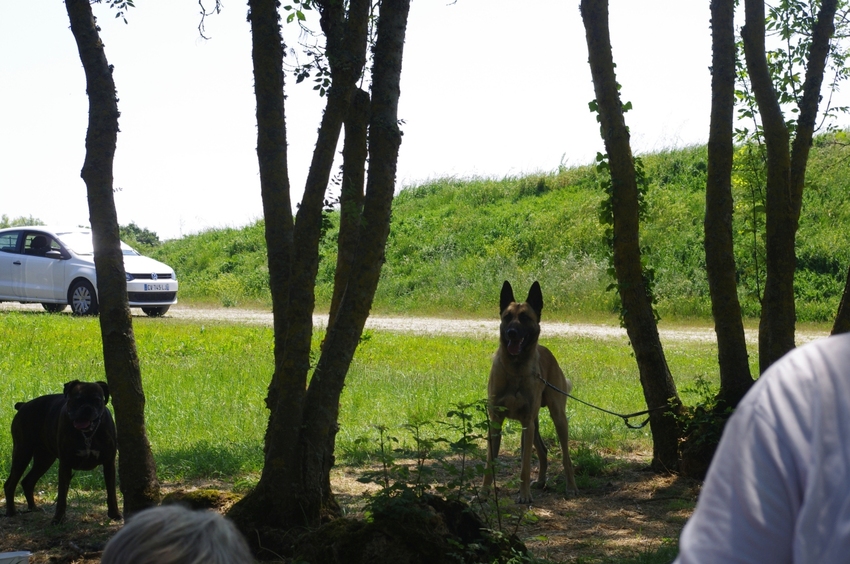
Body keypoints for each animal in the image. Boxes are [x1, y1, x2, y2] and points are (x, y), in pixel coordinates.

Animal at [4, 382, 121, 524]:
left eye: (97, 400)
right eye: (77, 399)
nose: (87, 408)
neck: (87, 435)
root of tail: (24, 405)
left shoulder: (109, 464)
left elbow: (111, 492)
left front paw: (115, 514)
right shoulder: (65, 465)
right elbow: (61, 496)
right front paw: (58, 518)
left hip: (44, 459)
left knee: (28, 481)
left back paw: (33, 507)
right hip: (22, 452)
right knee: (10, 484)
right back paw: (11, 511)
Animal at [484, 280, 576, 502]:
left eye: (525, 318)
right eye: (507, 317)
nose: (511, 333)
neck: (515, 370)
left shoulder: (526, 423)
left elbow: (525, 466)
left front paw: (524, 495)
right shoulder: (495, 421)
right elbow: (489, 464)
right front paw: (483, 493)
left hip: (557, 418)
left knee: (566, 456)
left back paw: (570, 487)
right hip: (534, 424)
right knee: (543, 450)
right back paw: (542, 481)